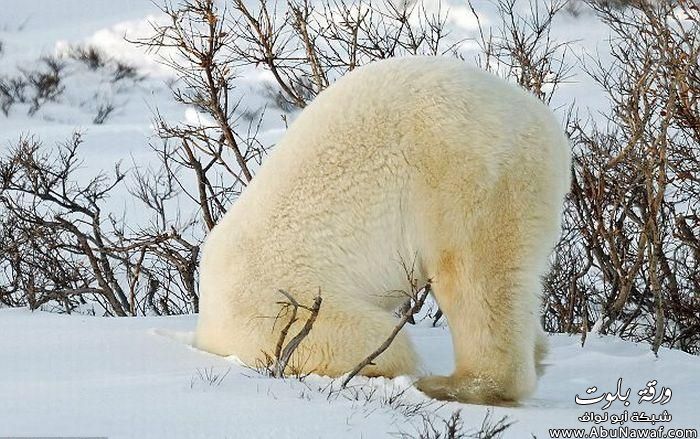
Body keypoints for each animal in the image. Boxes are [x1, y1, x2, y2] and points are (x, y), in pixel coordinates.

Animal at [194, 55, 572, 406]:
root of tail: (543, 124)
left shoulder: (279, 305)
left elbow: (368, 342)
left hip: (466, 175)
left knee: (472, 277)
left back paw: (452, 384)